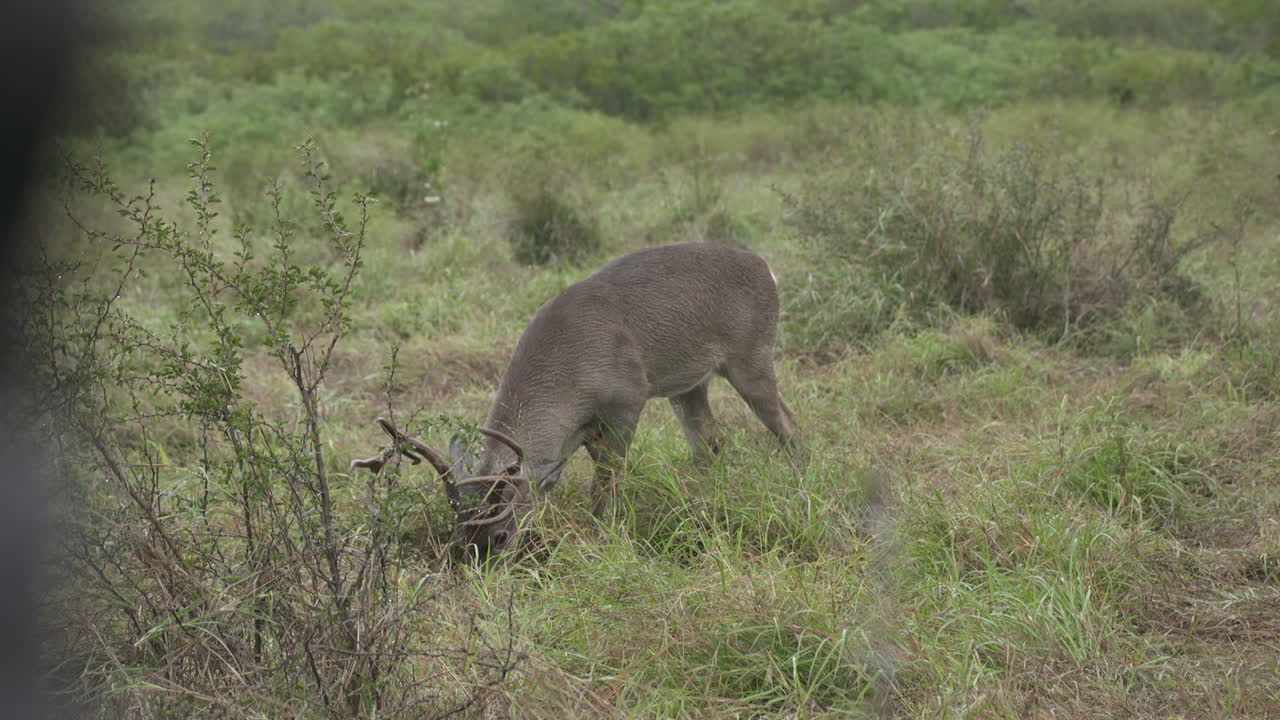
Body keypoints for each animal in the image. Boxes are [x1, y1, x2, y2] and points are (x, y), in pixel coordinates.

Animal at [351, 242, 799, 558]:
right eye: (459, 535)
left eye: (501, 535)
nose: (478, 565)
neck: (566, 367)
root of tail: (768, 269)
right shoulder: (585, 430)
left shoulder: (627, 398)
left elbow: (608, 482)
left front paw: (605, 535)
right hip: (689, 385)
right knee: (710, 442)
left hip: (751, 355)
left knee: (786, 423)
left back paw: (799, 481)